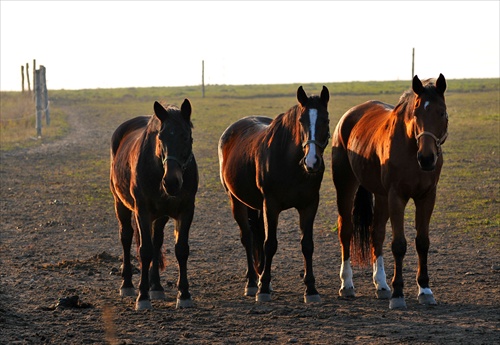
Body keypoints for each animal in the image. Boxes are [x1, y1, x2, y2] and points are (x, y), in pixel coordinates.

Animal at [109, 99, 197, 310]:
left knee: (157, 241)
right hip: (120, 204)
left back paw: (156, 286)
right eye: (161, 137)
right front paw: (142, 297)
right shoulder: (142, 212)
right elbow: (145, 251)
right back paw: (127, 284)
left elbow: (181, 249)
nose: (171, 182)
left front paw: (184, 294)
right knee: (126, 237)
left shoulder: (186, 211)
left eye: (186, 136)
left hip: (160, 215)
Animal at [218, 85, 328, 300]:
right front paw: (263, 289)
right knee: (247, 238)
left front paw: (311, 289)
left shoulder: (309, 204)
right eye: (301, 121)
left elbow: (307, 245)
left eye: (325, 120)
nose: (312, 162)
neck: (291, 165)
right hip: (236, 201)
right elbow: (270, 244)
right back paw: (253, 282)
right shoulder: (271, 204)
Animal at [332, 73, 450, 310]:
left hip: (381, 196)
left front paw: (425, 290)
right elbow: (399, 245)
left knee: (376, 233)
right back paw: (347, 284)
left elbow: (422, 242)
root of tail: (349, 116)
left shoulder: (426, 197)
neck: (411, 149)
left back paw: (381, 285)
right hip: (346, 186)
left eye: (441, 112)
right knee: (345, 230)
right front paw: (398, 294)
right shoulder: (397, 197)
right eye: (416, 113)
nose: (426, 158)